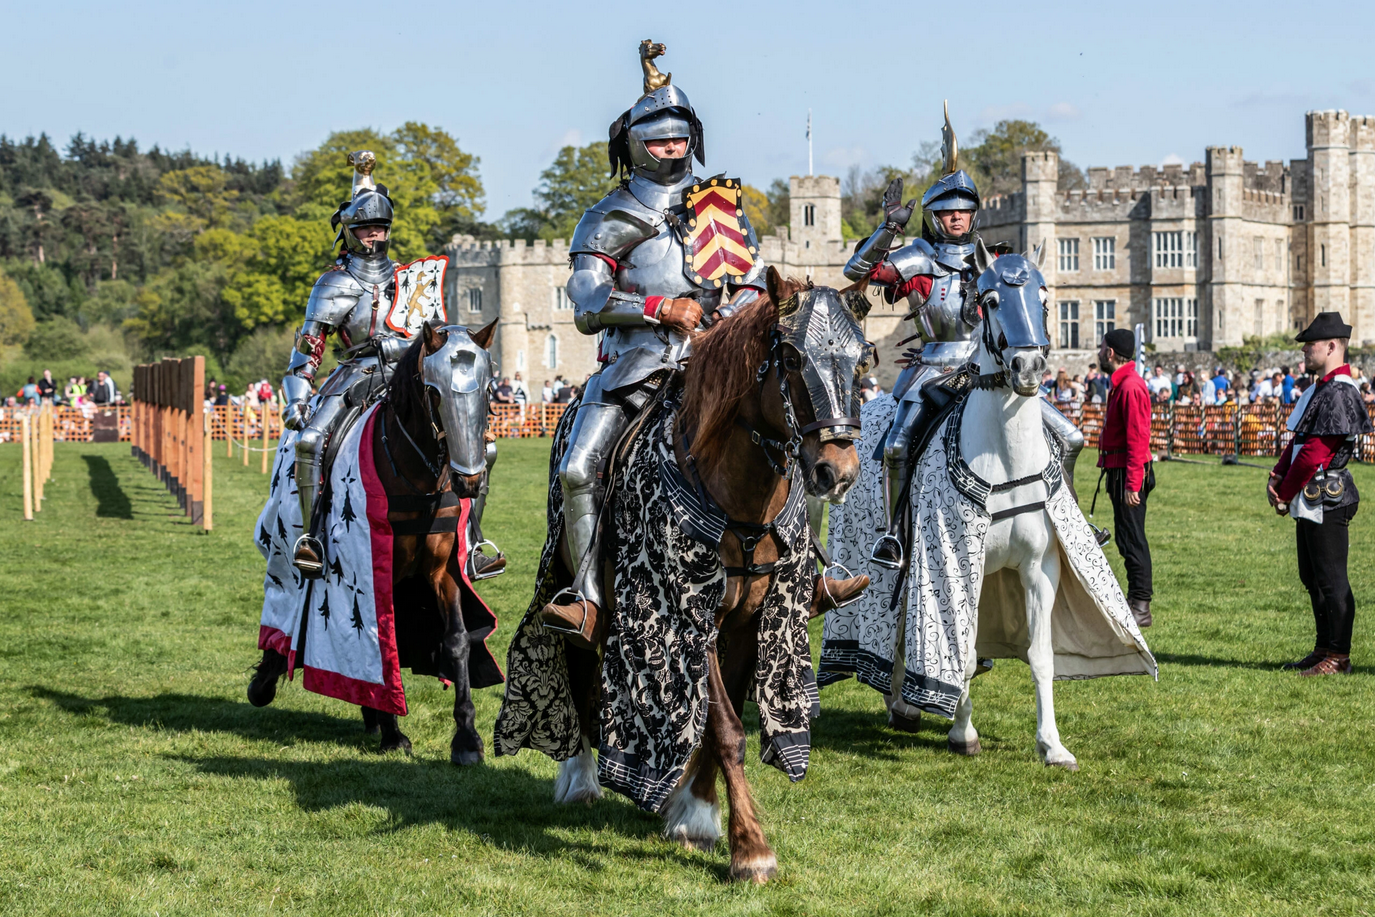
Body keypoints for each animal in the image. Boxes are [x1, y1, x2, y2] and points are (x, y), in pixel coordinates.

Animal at [248, 318, 506, 764]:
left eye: (489, 389)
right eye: (434, 391)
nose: (468, 481)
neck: (416, 474)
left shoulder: (443, 571)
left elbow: (455, 641)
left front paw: (466, 739)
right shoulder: (375, 569)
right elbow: (380, 640)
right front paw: (392, 733)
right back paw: (265, 681)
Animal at [530, 269, 863, 885]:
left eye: (862, 357)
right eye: (792, 357)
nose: (838, 471)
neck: (738, 496)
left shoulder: (747, 621)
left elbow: (717, 725)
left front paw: (696, 813)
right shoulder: (688, 615)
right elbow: (726, 728)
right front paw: (750, 849)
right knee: (579, 660)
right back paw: (580, 776)